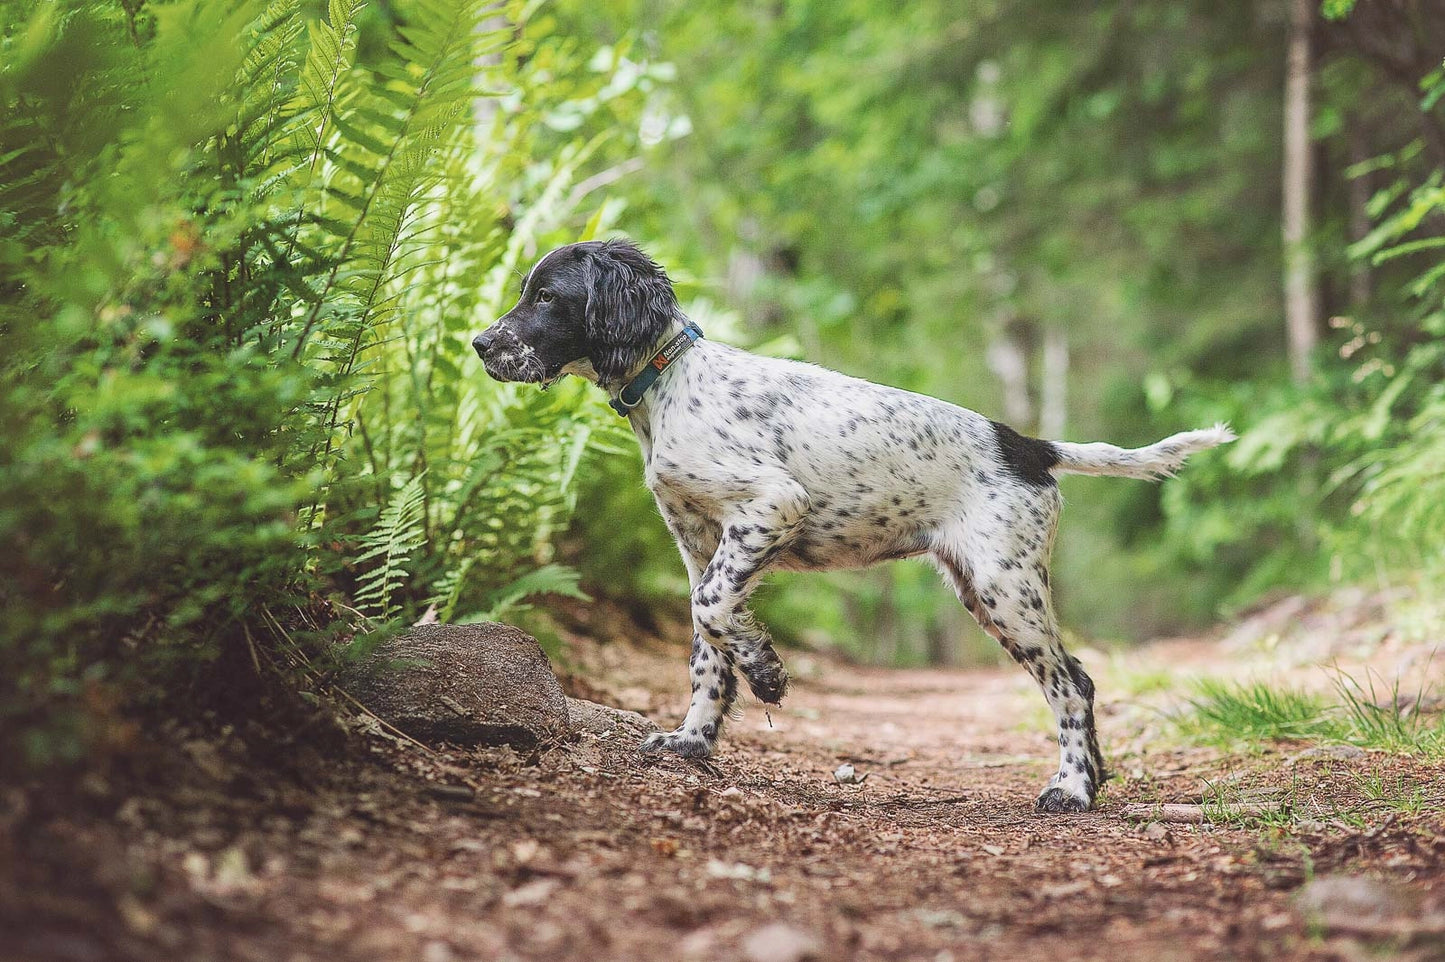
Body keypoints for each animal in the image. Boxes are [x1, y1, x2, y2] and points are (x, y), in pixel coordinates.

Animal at [471, 239, 1231, 808]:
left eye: (548, 297)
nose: (480, 344)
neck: (669, 382)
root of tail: (1027, 446)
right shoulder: (696, 541)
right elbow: (706, 643)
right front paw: (692, 741)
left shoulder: (772, 504)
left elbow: (714, 608)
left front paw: (767, 670)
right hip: (984, 588)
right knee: (1078, 677)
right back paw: (1091, 780)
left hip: (1004, 587)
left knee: (1069, 685)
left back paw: (1071, 789)